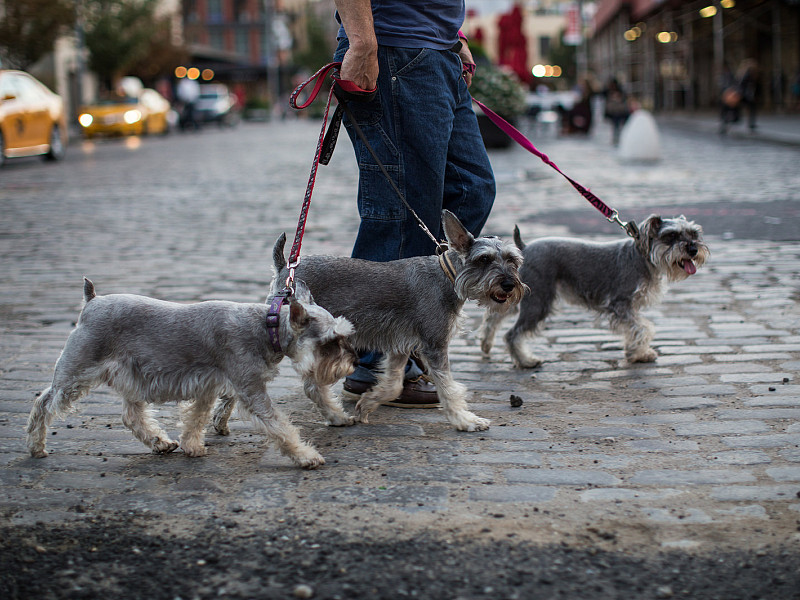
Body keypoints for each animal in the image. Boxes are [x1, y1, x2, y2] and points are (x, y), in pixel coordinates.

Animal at [25, 276, 356, 468]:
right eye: (331, 342)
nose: (352, 362)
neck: (267, 328)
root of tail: (91, 302)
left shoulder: (208, 385)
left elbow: (197, 418)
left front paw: (192, 446)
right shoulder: (251, 390)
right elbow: (280, 426)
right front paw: (306, 456)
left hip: (133, 376)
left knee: (132, 415)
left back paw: (160, 443)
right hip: (76, 373)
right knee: (44, 403)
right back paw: (36, 446)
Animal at [211, 210, 524, 432]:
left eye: (513, 260)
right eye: (484, 260)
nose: (509, 284)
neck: (447, 277)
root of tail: (284, 271)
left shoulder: (400, 346)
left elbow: (393, 384)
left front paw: (367, 404)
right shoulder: (434, 344)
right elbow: (447, 387)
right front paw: (465, 420)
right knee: (308, 386)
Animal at [478, 216, 708, 366]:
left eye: (695, 233)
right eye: (671, 235)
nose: (693, 249)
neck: (643, 257)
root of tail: (524, 248)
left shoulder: (629, 308)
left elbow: (634, 328)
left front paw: (634, 351)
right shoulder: (620, 304)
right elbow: (642, 327)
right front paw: (642, 353)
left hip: (518, 297)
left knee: (493, 318)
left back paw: (486, 345)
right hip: (538, 303)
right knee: (512, 334)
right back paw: (526, 361)